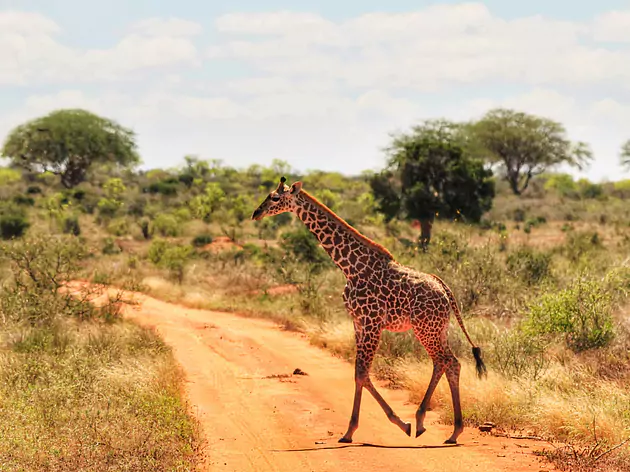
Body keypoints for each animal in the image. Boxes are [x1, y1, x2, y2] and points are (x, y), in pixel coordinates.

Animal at [252, 179, 488, 444]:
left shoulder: (372, 322)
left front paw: (370, 427)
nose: (256, 213)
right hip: (438, 329)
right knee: (448, 363)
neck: (350, 268)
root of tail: (446, 291)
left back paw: (431, 424)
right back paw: (447, 429)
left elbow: (362, 372)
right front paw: (364, 429)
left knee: (446, 361)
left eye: (274, 198)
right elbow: (360, 373)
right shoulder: (358, 322)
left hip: (425, 329)